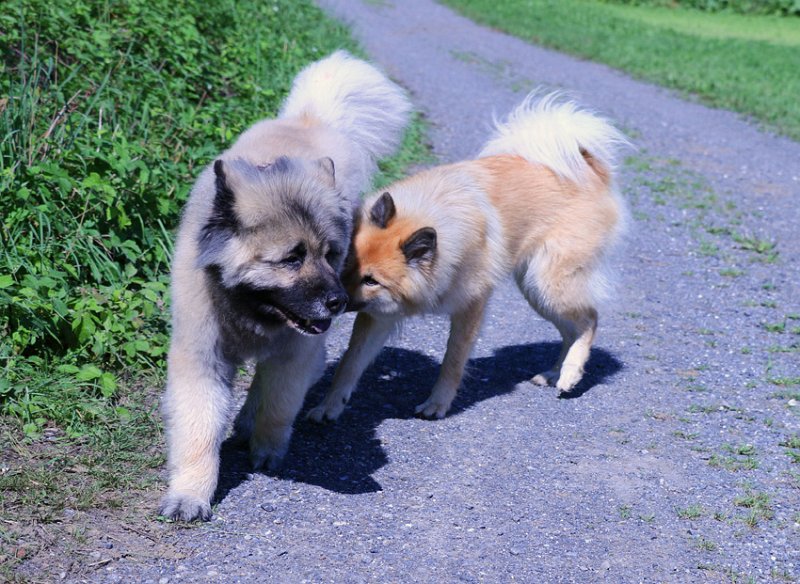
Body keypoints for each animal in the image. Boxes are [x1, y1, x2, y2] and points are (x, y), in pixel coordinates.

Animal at [310, 91, 628, 422]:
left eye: (371, 280)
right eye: (348, 265)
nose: (336, 301)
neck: (434, 216)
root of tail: (590, 168)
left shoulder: (470, 308)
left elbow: (453, 360)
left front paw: (438, 403)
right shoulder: (378, 316)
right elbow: (350, 363)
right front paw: (329, 406)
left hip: (549, 284)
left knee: (590, 320)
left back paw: (570, 374)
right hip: (536, 290)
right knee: (571, 329)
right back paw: (555, 373)